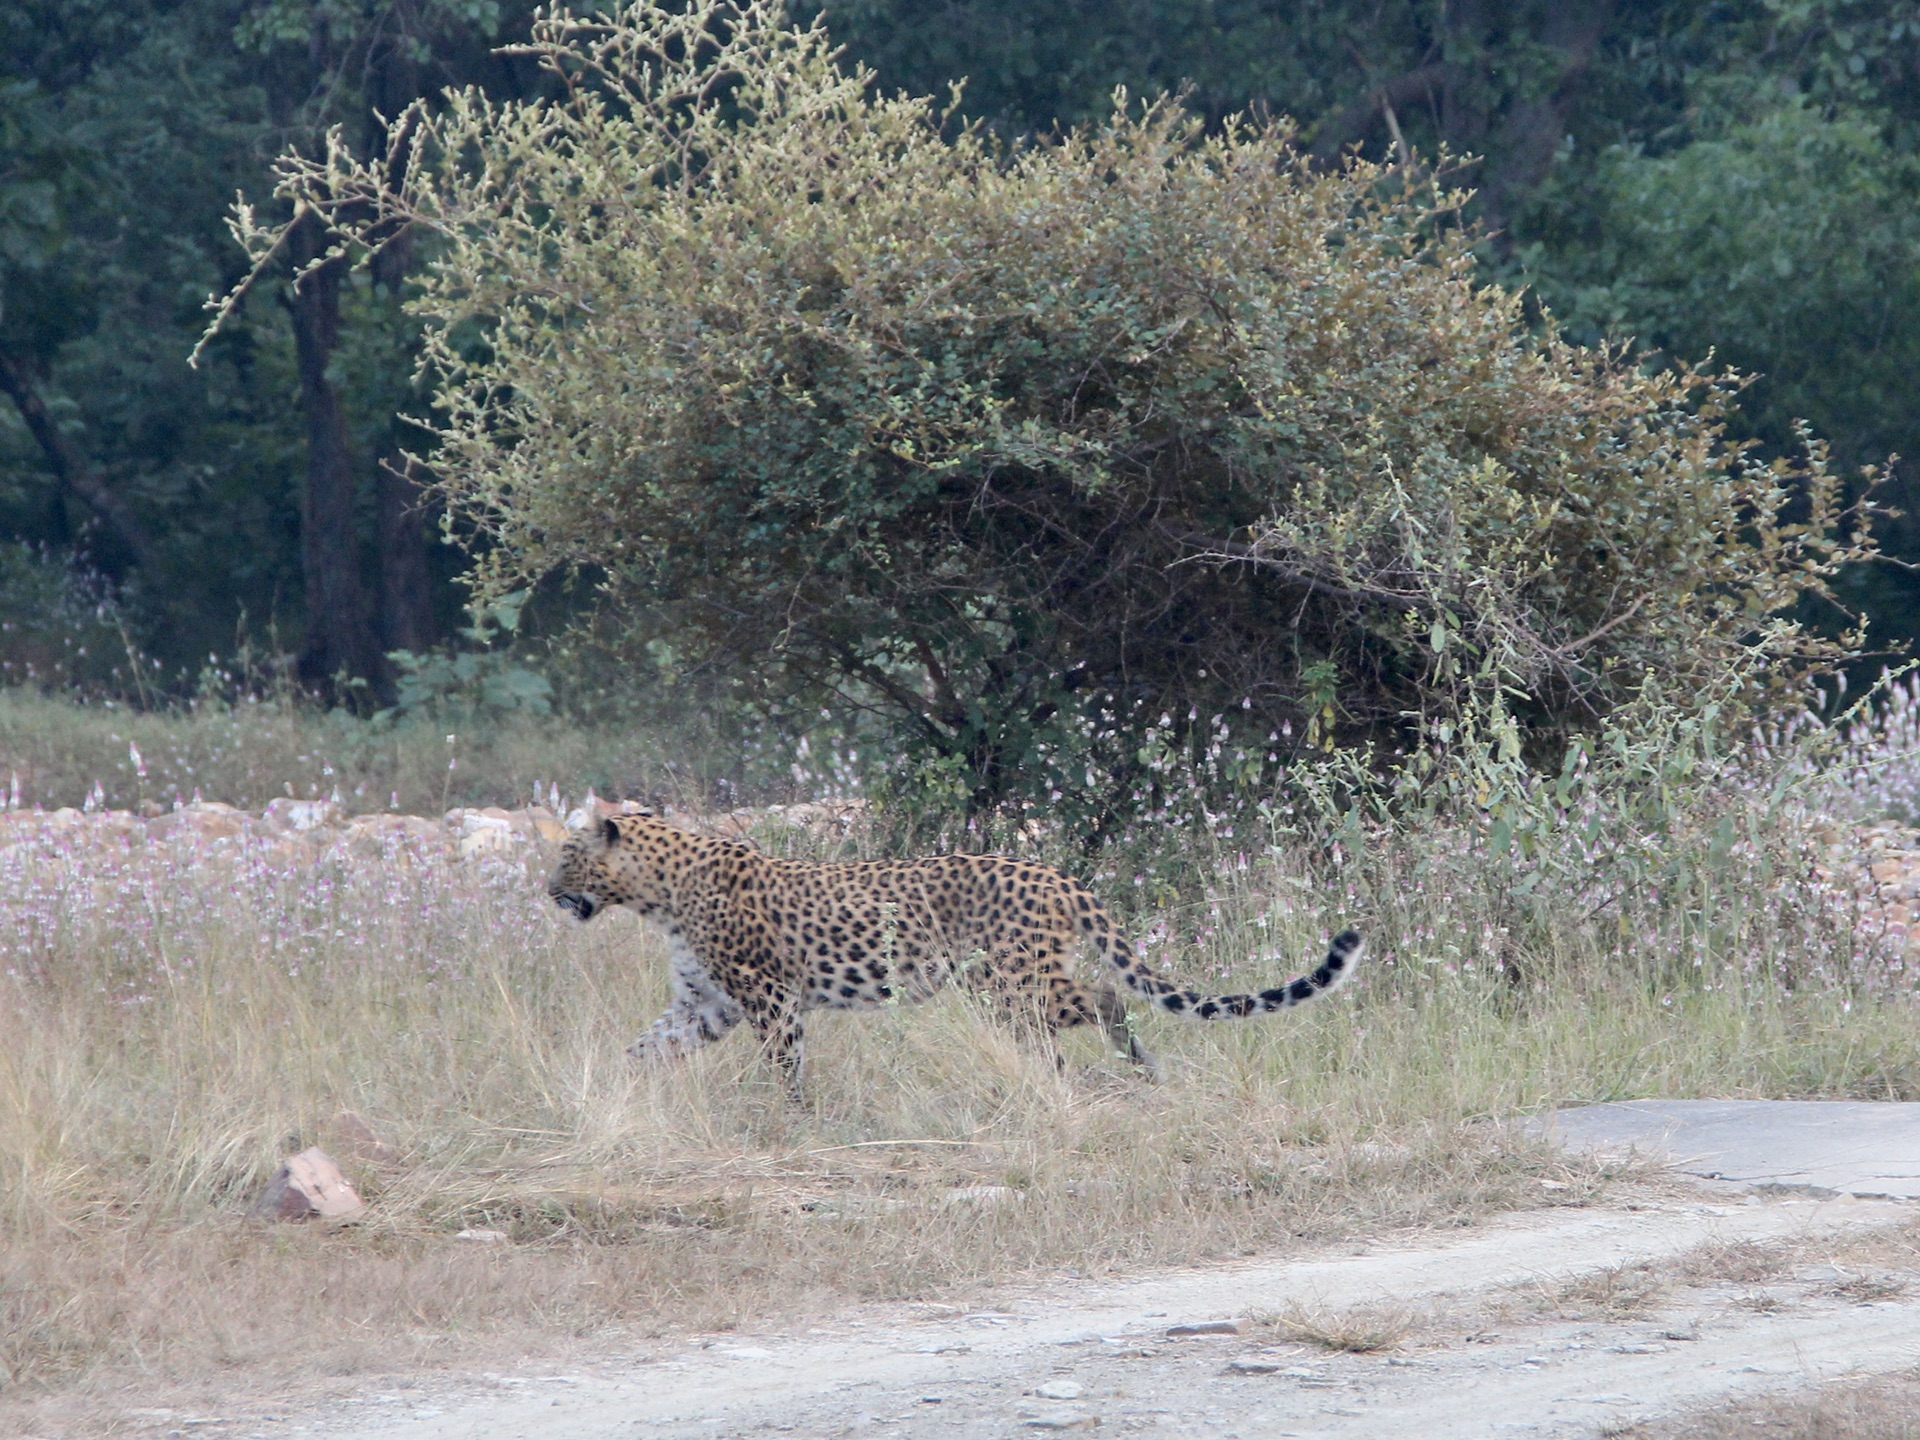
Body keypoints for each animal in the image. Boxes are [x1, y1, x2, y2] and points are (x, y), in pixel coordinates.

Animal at [545, 814, 1367, 1090]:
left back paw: (1093, 1079)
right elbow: (645, 1048)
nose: (549, 891)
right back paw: (1134, 1071)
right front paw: (608, 1096)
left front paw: (791, 1121)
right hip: (1008, 985)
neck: (656, 894)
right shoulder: (706, 1003)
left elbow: (786, 1065)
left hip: (1009, 983)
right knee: (1099, 1006)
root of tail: (1059, 876)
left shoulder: (767, 996)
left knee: (1098, 1003)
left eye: (566, 855)